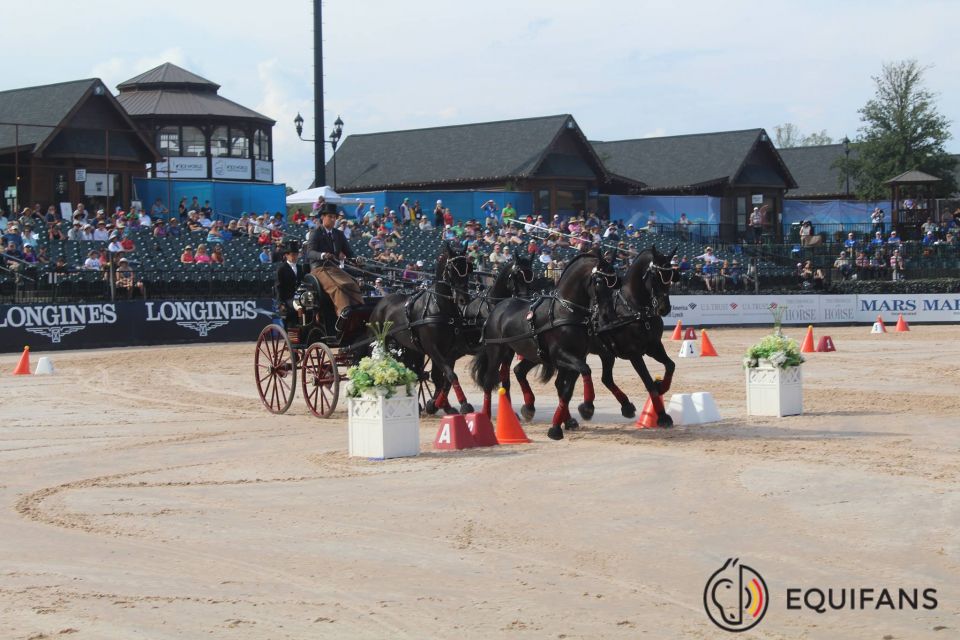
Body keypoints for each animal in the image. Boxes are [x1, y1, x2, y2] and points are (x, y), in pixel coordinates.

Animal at [370, 242, 474, 412]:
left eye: (468, 268)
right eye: (451, 270)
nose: (463, 298)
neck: (439, 307)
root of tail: (382, 300)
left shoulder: (449, 350)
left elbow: (442, 378)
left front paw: (440, 405)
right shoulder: (432, 348)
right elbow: (449, 375)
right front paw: (463, 403)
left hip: (408, 346)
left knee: (410, 369)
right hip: (383, 342)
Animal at [470, 250, 616, 440]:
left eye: (614, 281)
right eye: (598, 281)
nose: (607, 314)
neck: (565, 311)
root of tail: (498, 307)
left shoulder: (576, 356)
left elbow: (567, 389)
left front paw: (560, 424)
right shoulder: (561, 355)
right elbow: (584, 371)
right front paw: (587, 407)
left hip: (523, 352)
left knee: (515, 372)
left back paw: (528, 407)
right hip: (497, 350)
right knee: (489, 380)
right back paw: (487, 415)